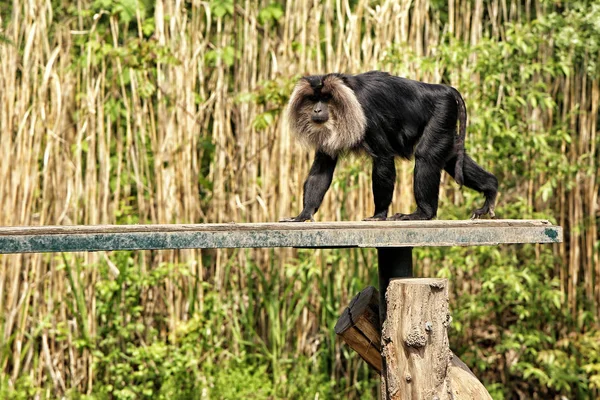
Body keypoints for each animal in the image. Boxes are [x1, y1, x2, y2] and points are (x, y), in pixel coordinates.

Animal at [278, 71, 500, 222]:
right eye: (314, 99)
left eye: (326, 98)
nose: (317, 110)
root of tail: (443, 89)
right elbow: (322, 169)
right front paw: (304, 213)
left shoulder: (367, 111)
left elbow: (383, 159)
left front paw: (379, 214)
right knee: (451, 159)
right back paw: (491, 187)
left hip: (442, 110)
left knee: (426, 156)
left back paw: (423, 213)